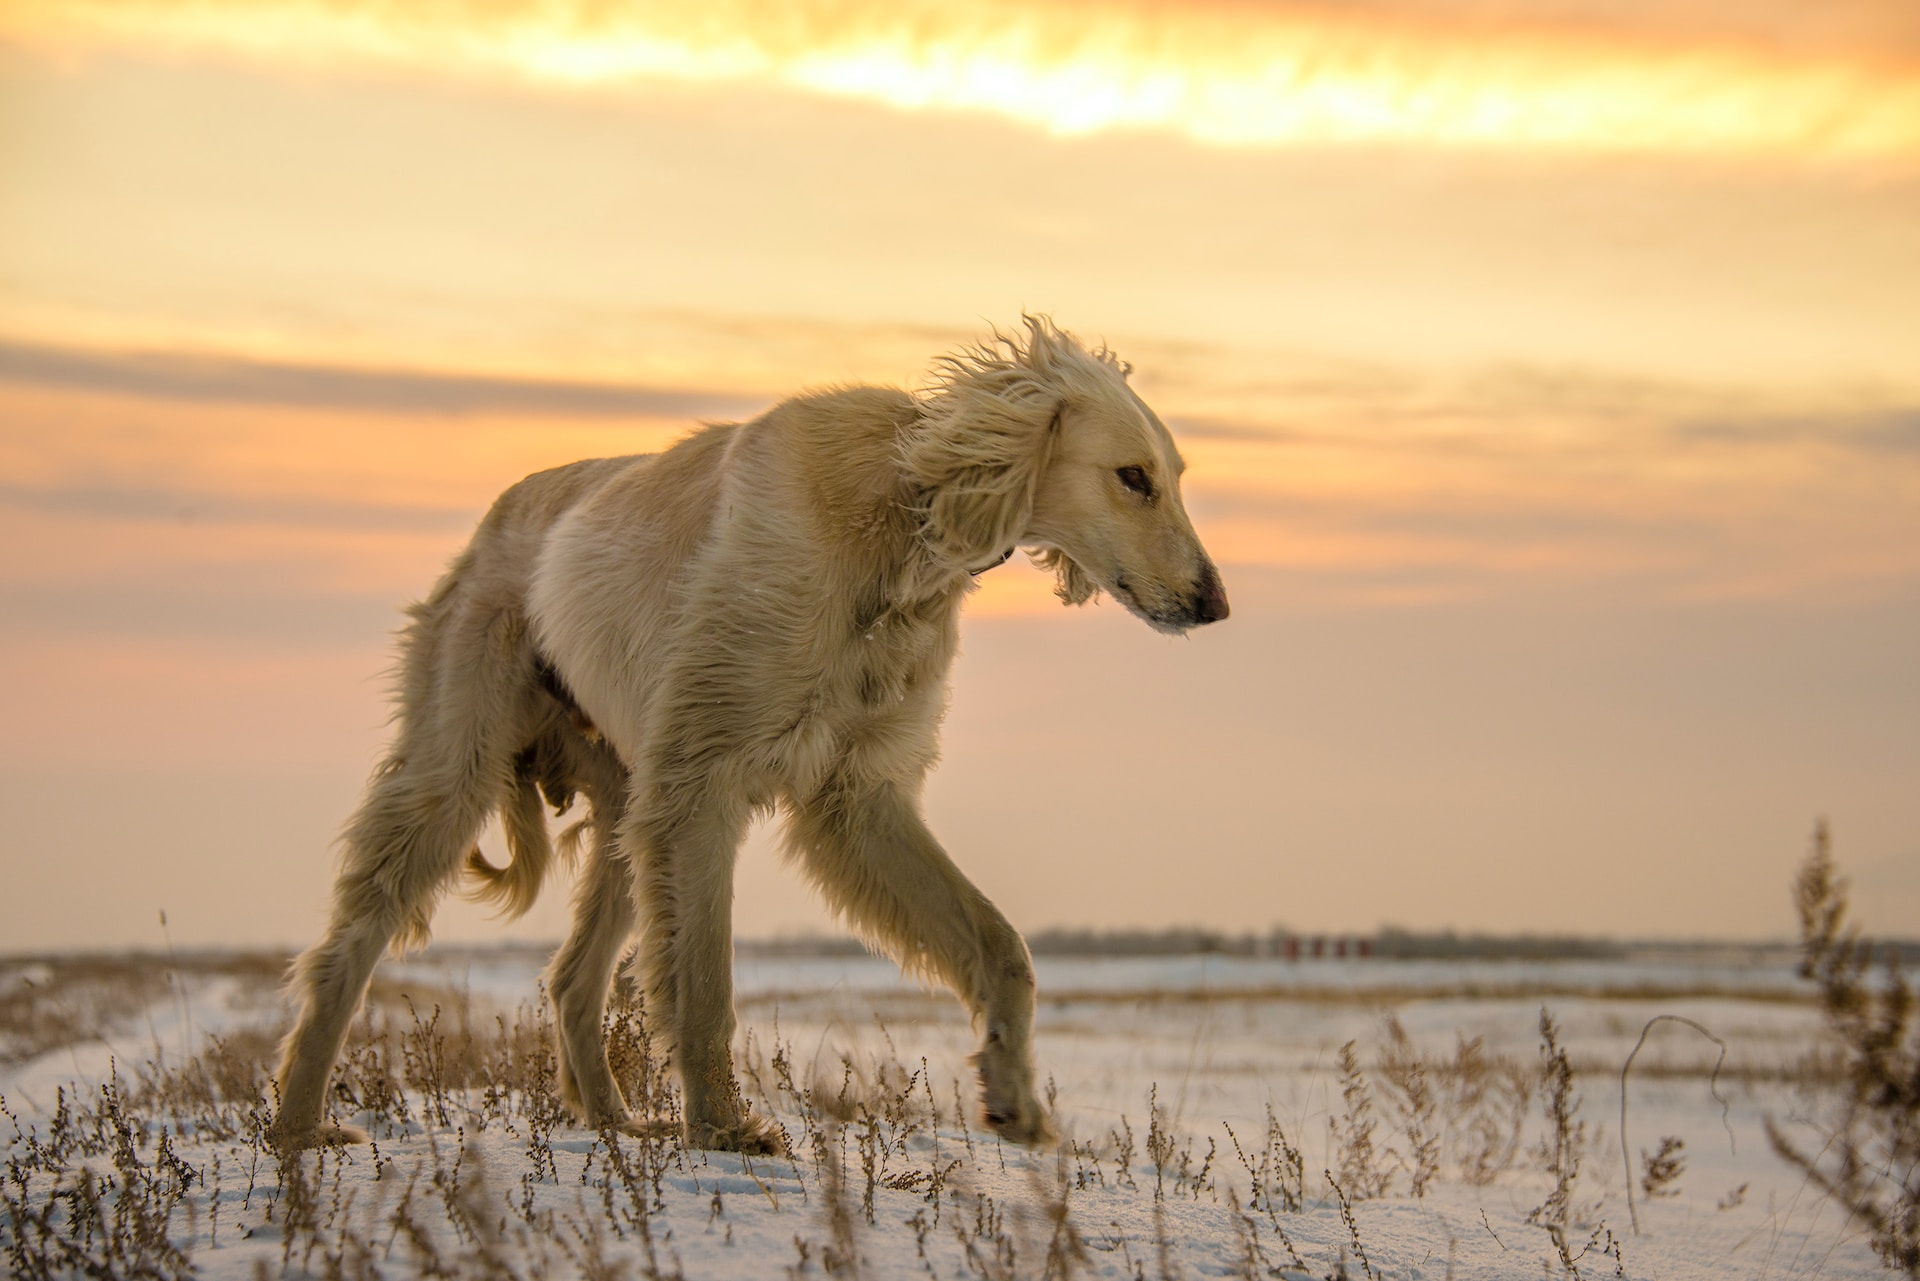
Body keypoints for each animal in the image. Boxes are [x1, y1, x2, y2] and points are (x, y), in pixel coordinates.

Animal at [270, 318, 1228, 1152]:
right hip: (463, 765)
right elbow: (704, 988)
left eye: (1175, 474)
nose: (1214, 603)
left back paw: (616, 1124)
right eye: (1132, 476)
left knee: (573, 977)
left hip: (630, 805)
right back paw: (298, 1124)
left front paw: (1013, 1093)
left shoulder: (855, 795)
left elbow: (1001, 945)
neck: (895, 523)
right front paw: (725, 1128)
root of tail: (493, 518)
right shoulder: (703, 783)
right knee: (345, 953)